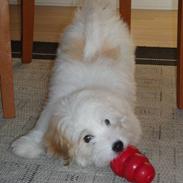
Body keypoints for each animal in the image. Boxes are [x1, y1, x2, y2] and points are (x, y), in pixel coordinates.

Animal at [12, 0, 142, 167]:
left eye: (107, 121)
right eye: (87, 138)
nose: (118, 145)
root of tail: (97, 11)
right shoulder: (50, 111)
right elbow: (40, 129)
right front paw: (27, 145)